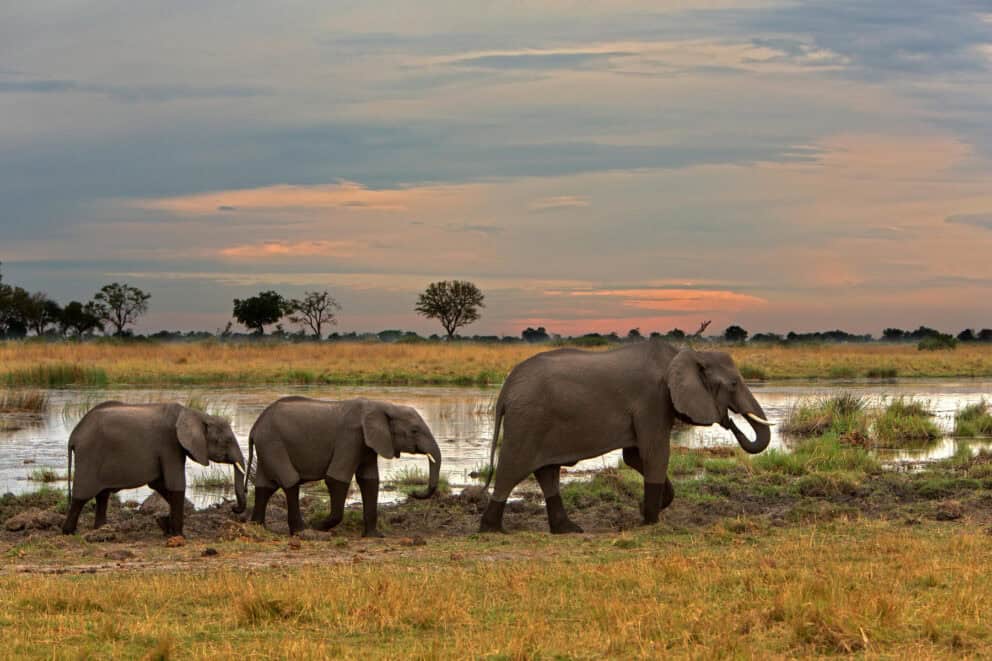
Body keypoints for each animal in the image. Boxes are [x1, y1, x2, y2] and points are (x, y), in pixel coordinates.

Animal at [62, 401, 247, 536]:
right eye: (227, 441)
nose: (233, 508)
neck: (197, 414)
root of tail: (74, 436)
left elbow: (160, 485)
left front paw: (164, 524)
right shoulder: (170, 444)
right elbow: (175, 485)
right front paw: (178, 535)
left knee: (102, 495)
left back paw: (100, 529)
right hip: (89, 456)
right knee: (81, 496)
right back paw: (69, 531)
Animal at [247, 396, 442, 537]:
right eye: (414, 431)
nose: (414, 492)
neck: (383, 405)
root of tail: (255, 427)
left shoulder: (368, 443)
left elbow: (369, 481)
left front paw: (374, 536)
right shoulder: (350, 437)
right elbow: (336, 478)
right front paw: (317, 526)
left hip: (267, 446)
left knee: (265, 486)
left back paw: (257, 527)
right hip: (272, 443)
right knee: (290, 480)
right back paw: (302, 531)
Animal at [479, 339, 773, 534]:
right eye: (733, 384)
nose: (730, 422)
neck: (684, 354)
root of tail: (506, 388)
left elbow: (634, 457)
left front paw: (646, 510)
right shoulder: (653, 399)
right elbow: (655, 453)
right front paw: (650, 522)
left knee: (546, 472)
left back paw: (569, 529)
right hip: (528, 419)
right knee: (512, 469)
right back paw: (491, 529)